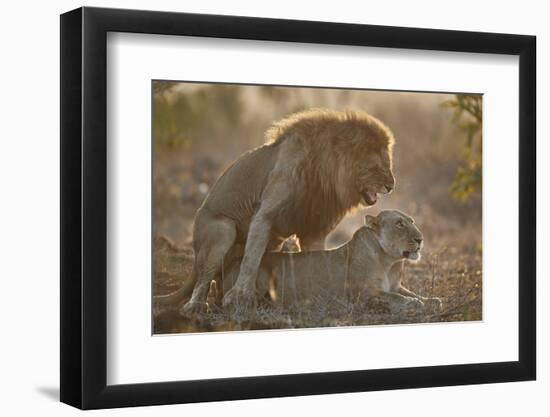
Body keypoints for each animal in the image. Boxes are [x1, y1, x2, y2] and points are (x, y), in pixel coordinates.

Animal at [160, 108, 396, 316]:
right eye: (376, 168)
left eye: (389, 164)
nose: (391, 186)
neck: (325, 172)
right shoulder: (264, 215)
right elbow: (251, 259)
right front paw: (239, 298)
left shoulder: (315, 229)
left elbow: (316, 258)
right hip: (222, 230)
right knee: (203, 279)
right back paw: (196, 306)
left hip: (272, 242)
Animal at [224, 210, 444, 314]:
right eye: (399, 223)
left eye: (412, 222)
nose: (420, 239)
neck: (390, 262)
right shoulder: (364, 293)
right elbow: (397, 298)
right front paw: (413, 303)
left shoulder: (396, 286)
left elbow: (418, 295)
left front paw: (432, 300)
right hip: (258, 275)